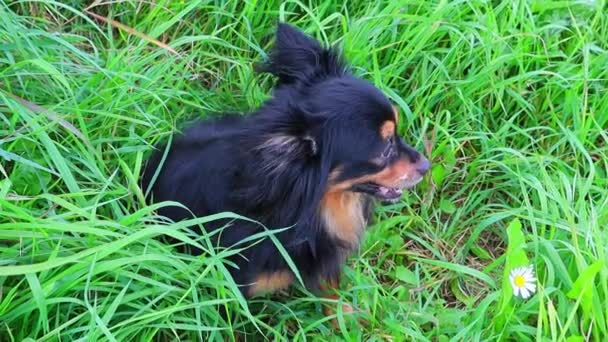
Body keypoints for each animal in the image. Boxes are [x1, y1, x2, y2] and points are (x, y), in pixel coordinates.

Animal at [141, 22, 430, 318]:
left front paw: (347, 318)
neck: (310, 208)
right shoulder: (232, 288)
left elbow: (332, 293)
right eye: (385, 149)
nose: (425, 165)